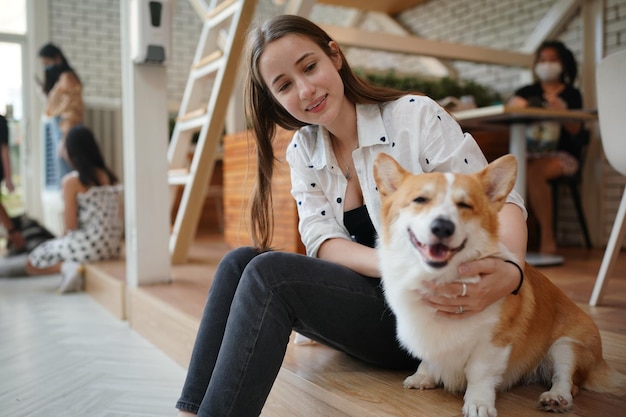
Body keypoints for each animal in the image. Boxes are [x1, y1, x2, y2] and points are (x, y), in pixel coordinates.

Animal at [372, 154, 620, 416]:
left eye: (465, 205)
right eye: (420, 200)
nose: (442, 227)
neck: (443, 278)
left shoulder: (494, 342)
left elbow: (479, 373)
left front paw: (478, 403)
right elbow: (428, 358)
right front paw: (423, 376)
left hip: (566, 347)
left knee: (567, 381)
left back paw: (555, 397)